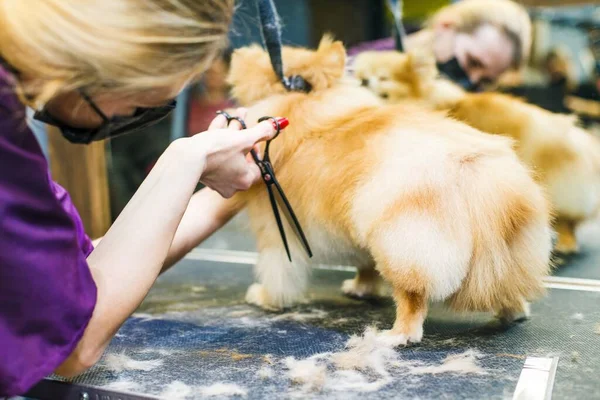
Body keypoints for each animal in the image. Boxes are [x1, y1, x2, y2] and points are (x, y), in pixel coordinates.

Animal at [230, 37, 552, 344]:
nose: (241, 53)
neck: (304, 103)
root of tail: (478, 171)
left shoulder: (274, 229)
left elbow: (278, 273)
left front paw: (266, 298)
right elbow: (366, 267)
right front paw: (360, 288)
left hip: (403, 242)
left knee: (413, 298)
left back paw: (398, 335)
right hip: (498, 256)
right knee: (507, 290)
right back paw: (513, 313)